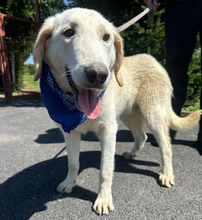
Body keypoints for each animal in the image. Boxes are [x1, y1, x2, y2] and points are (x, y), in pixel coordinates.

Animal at [33, 7, 200, 215]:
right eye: (68, 32)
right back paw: (133, 153)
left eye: (106, 37)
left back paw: (167, 174)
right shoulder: (69, 132)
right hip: (128, 115)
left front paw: (103, 199)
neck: (76, 110)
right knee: (142, 135)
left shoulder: (109, 130)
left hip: (153, 115)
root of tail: (155, 61)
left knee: (166, 146)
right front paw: (70, 183)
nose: (99, 75)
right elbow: (73, 162)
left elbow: (105, 171)